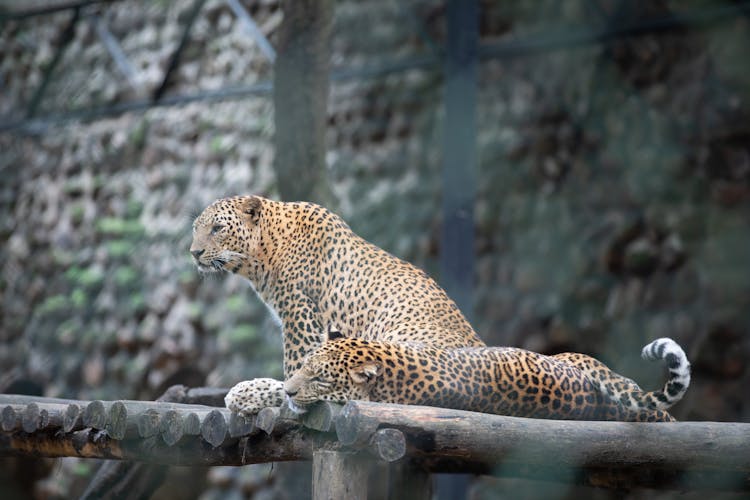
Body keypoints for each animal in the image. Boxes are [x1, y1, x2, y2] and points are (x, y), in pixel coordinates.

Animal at [191, 195, 484, 414]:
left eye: (217, 228)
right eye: (196, 229)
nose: (194, 252)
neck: (266, 252)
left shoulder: (299, 318)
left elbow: (295, 375)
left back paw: (243, 393)